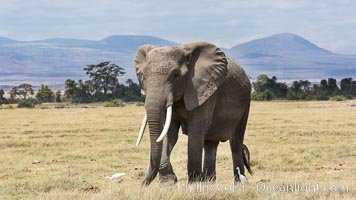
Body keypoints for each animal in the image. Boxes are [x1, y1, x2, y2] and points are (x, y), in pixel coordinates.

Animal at [134, 41, 253, 186]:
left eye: (175, 75)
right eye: (143, 77)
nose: (143, 183)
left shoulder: (203, 91)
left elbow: (195, 131)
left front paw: (194, 183)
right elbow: (169, 133)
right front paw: (168, 182)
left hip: (246, 103)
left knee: (235, 142)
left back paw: (238, 183)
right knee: (210, 143)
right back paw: (209, 181)